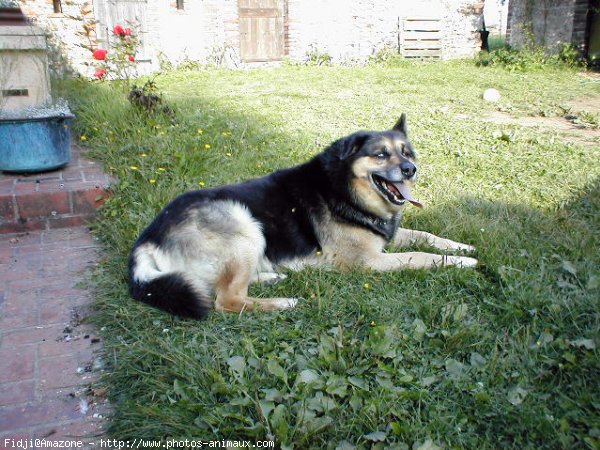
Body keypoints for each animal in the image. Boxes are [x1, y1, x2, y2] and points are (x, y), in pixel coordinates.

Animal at [129, 116, 476, 320]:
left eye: (406, 152)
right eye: (380, 154)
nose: (410, 170)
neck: (344, 187)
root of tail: (148, 238)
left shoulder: (385, 236)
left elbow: (425, 236)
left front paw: (462, 247)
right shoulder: (368, 261)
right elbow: (421, 255)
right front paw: (463, 262)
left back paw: (271, 277)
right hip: (245, 226)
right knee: (226, 300)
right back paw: (284, 302)